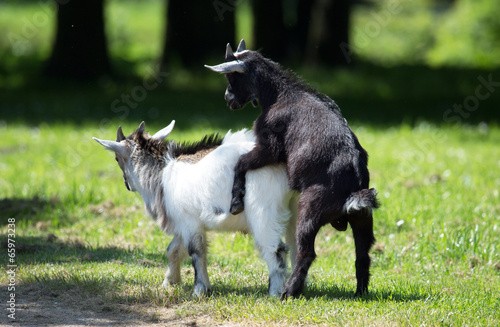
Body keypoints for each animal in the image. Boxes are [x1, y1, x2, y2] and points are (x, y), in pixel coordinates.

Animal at [93, 121, 296, 298]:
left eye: (117, 158)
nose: (127, 185)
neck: (163, 172)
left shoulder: (190, 222)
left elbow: (196, 252)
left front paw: (200, 290)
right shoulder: (182, 223)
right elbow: (174, 250)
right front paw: (170, 283)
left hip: (263, 211)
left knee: (276, 250)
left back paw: (275, 293)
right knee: (297, 246)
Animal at [206, 39, 378, 300]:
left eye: (232, 77)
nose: (228, 99)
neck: (280, 95)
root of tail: (354, 186)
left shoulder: (270, 147)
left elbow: (242, 162)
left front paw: (235, 202)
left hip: (309, 209)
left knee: (307, 252)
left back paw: (288, 292)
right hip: (363, 218)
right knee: (363, 255)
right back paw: (360, 292)